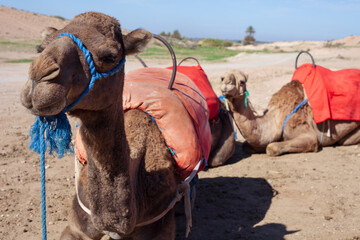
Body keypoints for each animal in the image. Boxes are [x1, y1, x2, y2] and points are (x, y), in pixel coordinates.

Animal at [219, 69, 360, 157]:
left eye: (242, 81)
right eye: (222, 78)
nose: (226, 85)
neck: (276, 117)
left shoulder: (307, 134)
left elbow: (271, 147)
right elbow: (246, 146)